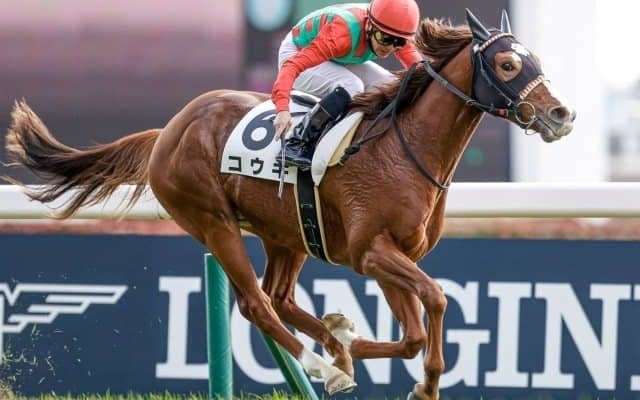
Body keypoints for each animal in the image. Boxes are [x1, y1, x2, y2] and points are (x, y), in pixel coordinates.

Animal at [4, 9, 574, 400]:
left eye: (536, 61)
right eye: (507, 62)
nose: (561, 115)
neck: (405, 146)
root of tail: (167, 130)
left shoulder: (395, 256)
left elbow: (413, 334)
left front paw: (360, 348)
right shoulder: (372, 252)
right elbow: (435, 298)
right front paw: (407, 377)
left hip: (289, 232)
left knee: (278, 297)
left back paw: (334, 344)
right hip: (213, 222)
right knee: (256, 304)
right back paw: (326, 366)